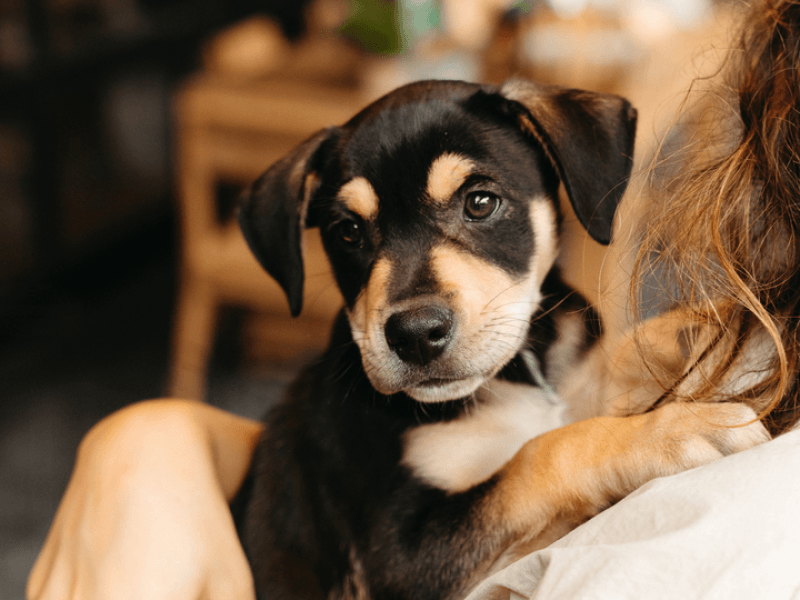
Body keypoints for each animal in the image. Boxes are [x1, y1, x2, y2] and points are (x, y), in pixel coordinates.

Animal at [233, 79, 768, 600]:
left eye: (480, 202)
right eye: (347, 232)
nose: (415, 335)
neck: (520, 373)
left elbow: (618, 358)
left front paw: (719, 321)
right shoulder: (401, 557)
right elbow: (540, 454)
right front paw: (674, 430)